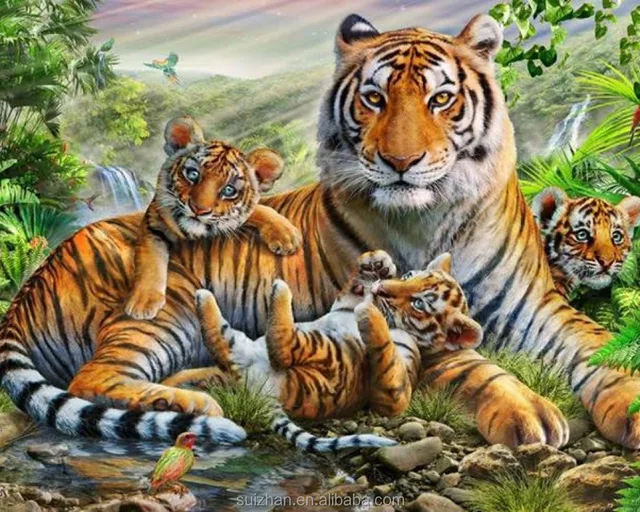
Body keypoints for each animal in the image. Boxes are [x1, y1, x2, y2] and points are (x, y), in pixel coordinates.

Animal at [124, 116, 302, 320]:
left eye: (229, 190)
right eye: (193, 174)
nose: (199, 209)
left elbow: (258, 210)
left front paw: (287, 235)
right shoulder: (153, 223)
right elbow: (150, 260)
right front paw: (143, 302)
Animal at [188, 250, 481, 452]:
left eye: (418, 303)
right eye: (410, 276)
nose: (381, 289)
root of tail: (260, 392)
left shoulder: (396, 392)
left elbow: (387, 357)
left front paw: (369, 313)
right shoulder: (345, 302)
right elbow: (352, 288)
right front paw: (377, 261)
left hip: (326, 355)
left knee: (285, 346)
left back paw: (279, 290)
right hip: (242, 346)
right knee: (221, 342)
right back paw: (204, 296)